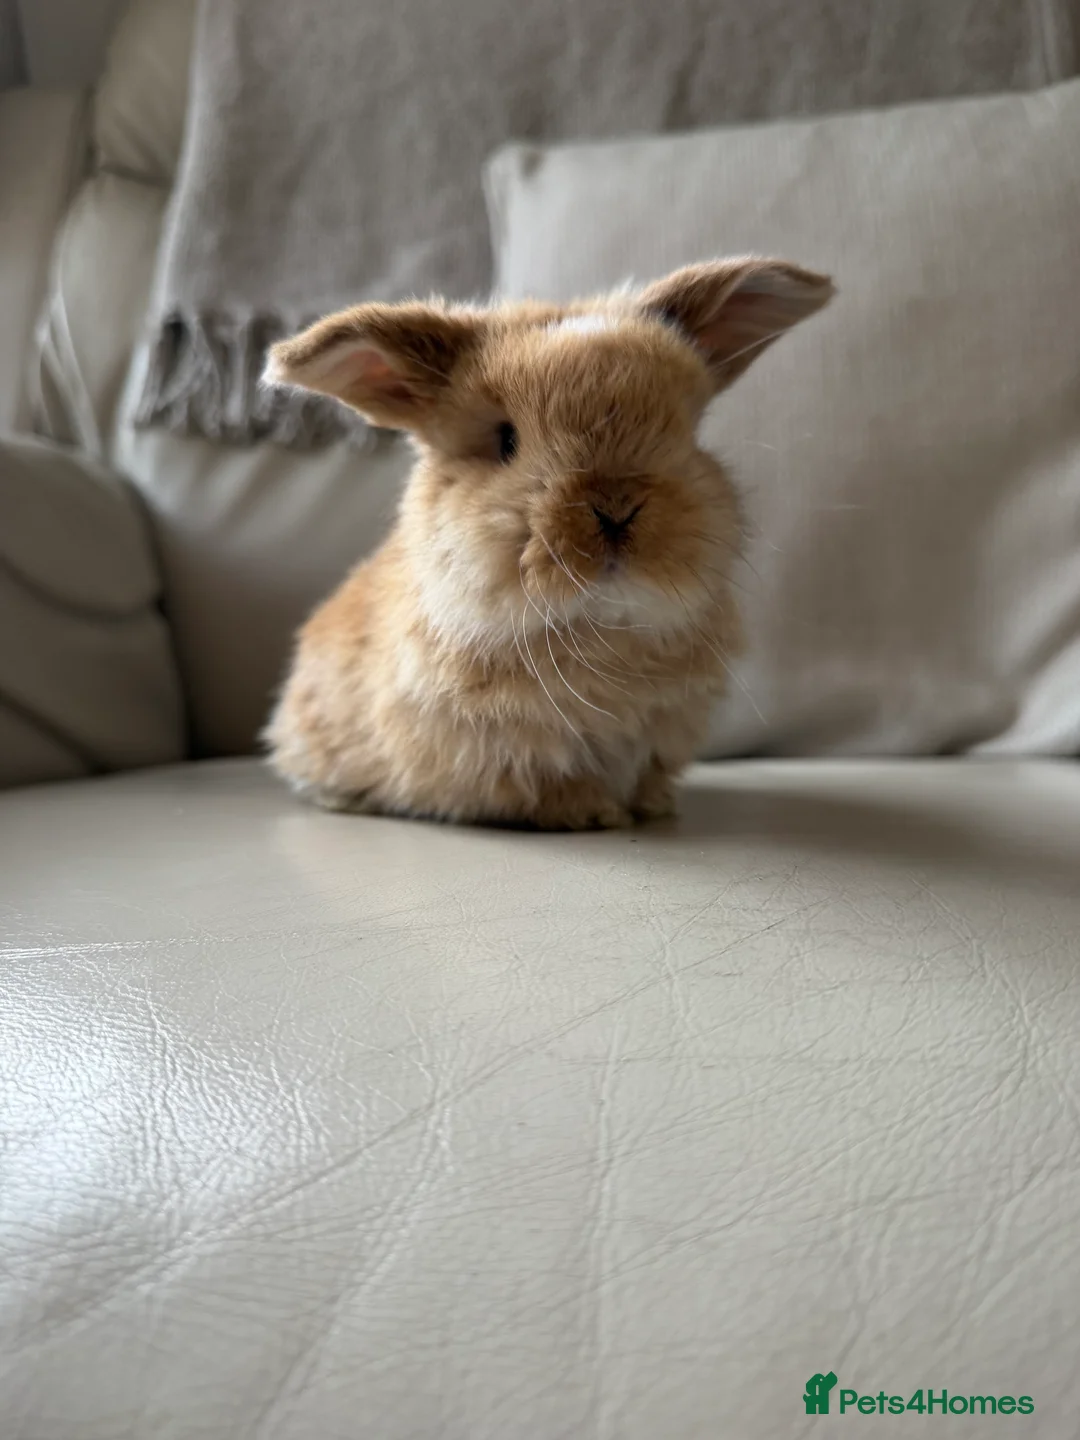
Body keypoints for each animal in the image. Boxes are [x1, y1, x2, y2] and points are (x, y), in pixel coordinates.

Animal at [262, 258, 833, 829]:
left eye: (686, 434)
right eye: (506, 440)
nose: (616, 509)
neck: (600, 629)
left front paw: (650, 808)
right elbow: (545, 784)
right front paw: (593, 813)